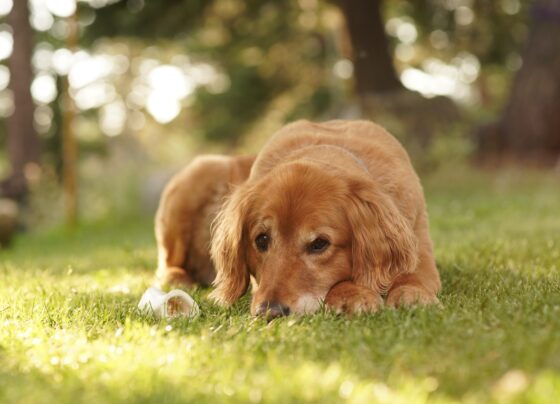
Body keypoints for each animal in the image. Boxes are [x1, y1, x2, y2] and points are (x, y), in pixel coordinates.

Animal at [208, 120, 440, 318]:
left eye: (319, 243)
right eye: (261, 239)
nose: (269, 312)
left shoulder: (420, 247)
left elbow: (413, 273)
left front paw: (411, 293)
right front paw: (352, 294)